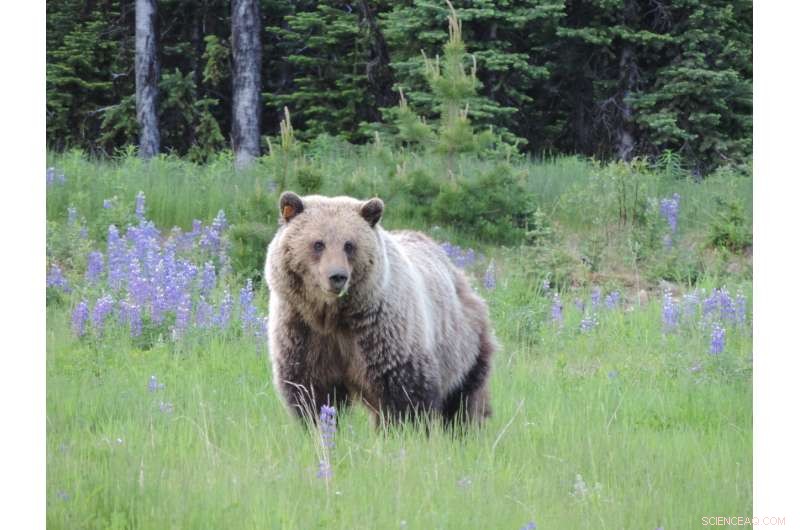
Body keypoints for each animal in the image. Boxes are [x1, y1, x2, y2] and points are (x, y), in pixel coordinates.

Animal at [264, 191, 496, 427]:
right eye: (318, 244)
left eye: (349, 245)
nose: (337, 276)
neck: (332, 315)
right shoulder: (303, 332)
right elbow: (311, 391)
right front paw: (320, 424)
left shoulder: (381, 331)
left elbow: (404, 392)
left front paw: (402, 428)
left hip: (463, 344)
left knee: (464, 400)